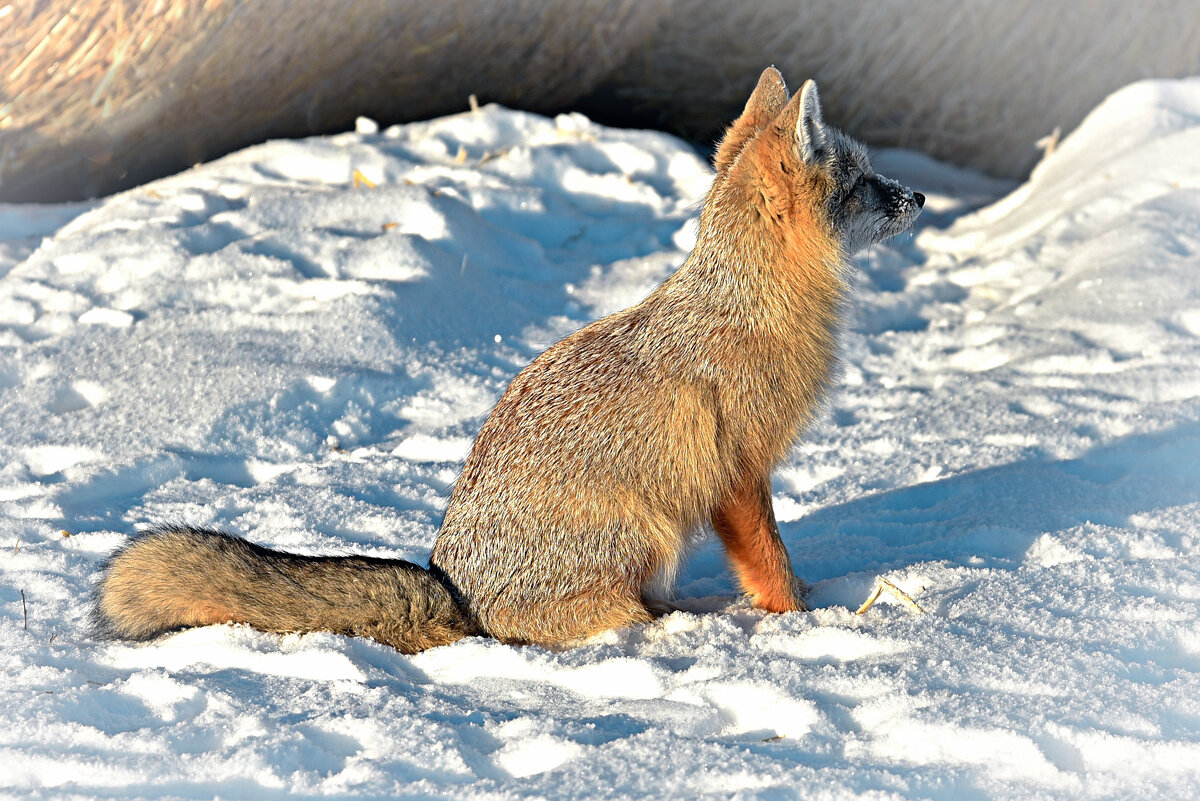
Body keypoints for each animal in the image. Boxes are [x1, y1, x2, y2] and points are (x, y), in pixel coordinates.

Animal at [93, 70, 921, 652]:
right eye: (864, 183)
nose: (918, 197)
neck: (750, 309)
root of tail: (456, 587)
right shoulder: (739, 473)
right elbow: (773, 565)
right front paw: (806, 620)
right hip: (642, 530)